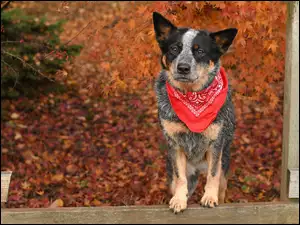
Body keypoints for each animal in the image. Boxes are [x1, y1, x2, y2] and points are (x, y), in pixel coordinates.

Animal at [154, 11, 238, 213]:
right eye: (174, 49)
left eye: (200, 51)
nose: (183, 67)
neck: (193, 97)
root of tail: (199, 167)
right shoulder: (175, 144)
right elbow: (180, 178)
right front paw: (178, 200)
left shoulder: (216, 144)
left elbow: (213, 175)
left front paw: (209, 197)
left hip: (224, 167)